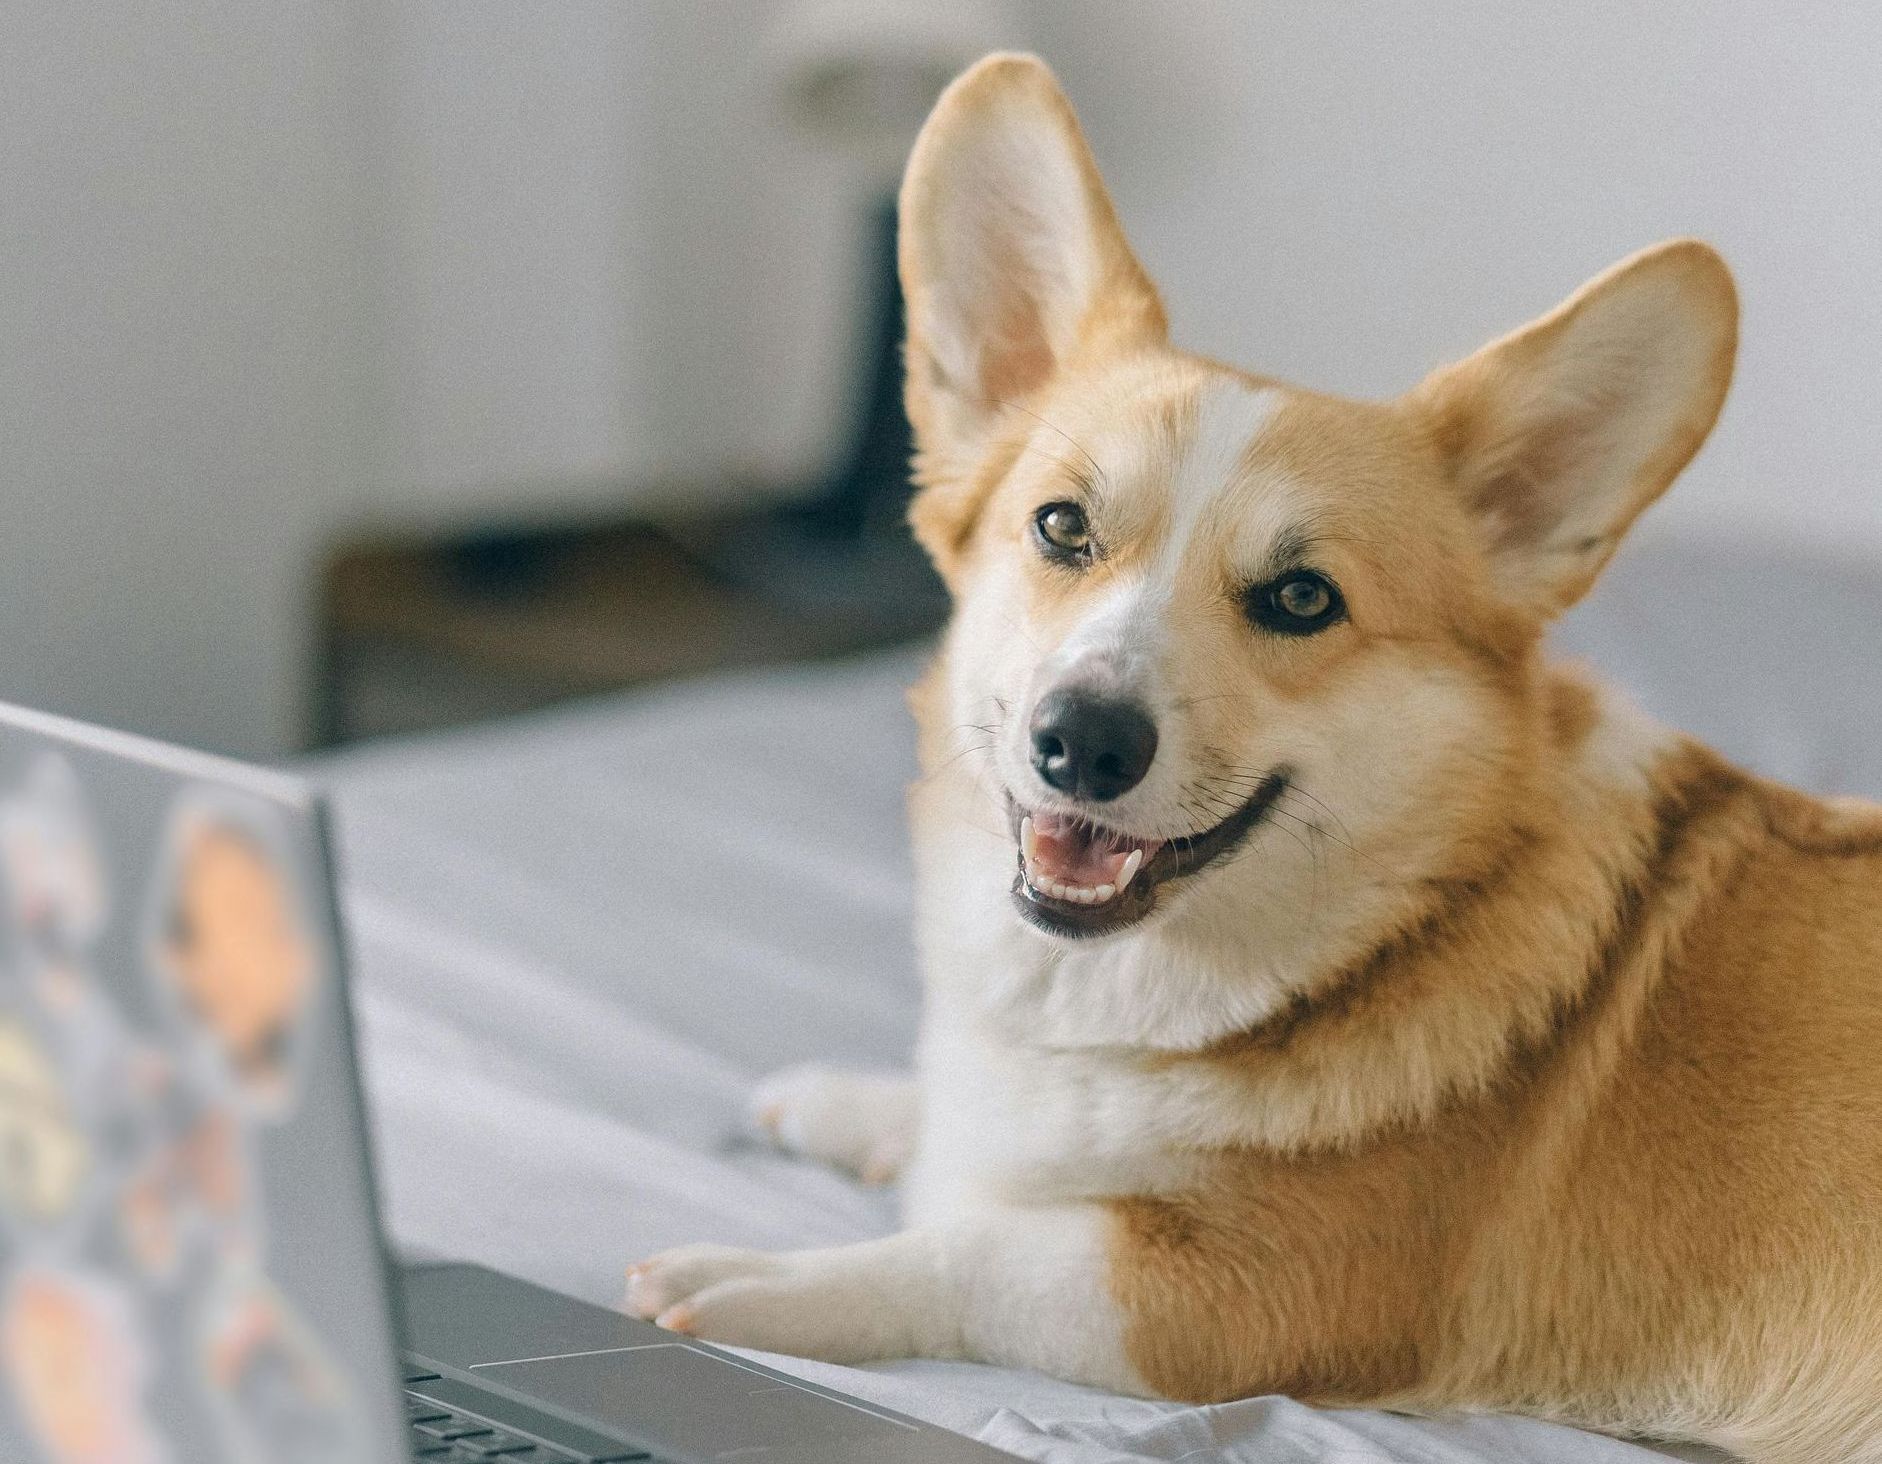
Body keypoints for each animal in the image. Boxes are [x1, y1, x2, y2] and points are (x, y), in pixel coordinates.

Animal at [628, 51, 1882, 1452]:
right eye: (1060, 528)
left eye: (1299, 600)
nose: (1080, 741)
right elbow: (958, 1138)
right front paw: (854, 1103)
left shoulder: (1229, 1293)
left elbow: (976, 1247)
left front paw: (757, 1275)